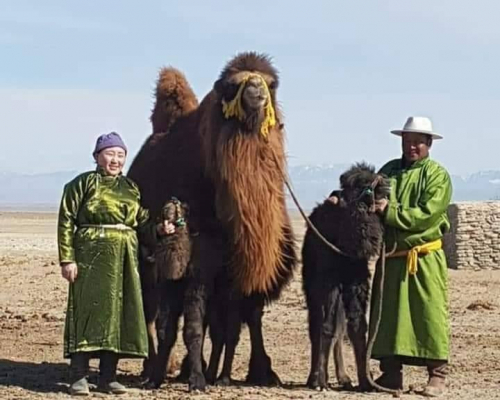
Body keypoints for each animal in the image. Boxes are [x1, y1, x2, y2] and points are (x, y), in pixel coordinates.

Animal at [128, 52, 296, 390]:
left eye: (271, 84)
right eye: (232, 86)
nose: (255, 92)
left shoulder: (240, 269)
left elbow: (243, 319)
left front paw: (260, 373)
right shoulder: (202, 259)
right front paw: (200, 373)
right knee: (150, 309)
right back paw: (154, 367)